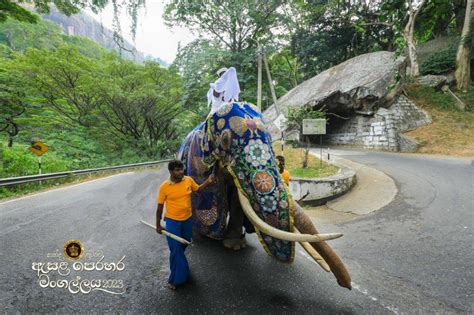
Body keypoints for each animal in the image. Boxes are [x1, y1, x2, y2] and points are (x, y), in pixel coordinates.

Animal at [176, 102, 350, 292]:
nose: (346, 284)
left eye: (270, 138)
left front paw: (235, 245)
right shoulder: (199, 167)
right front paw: (217, 239)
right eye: (224, 140)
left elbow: (237, 200)